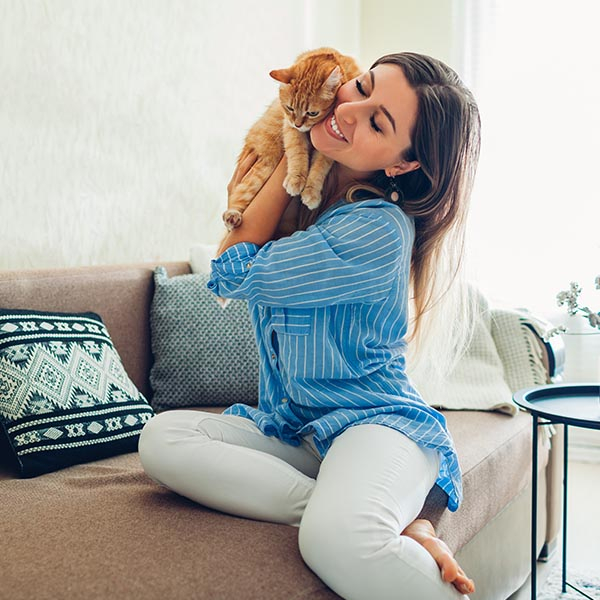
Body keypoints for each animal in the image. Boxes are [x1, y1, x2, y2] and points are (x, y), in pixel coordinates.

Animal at [223, 46, 358, 230]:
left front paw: (311, 191)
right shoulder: (290, 127)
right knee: (237, 201)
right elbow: (297, 151)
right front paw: (296, 179)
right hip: (261, 172)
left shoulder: (329, 143)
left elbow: (319, 167)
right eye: (290, 108)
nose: (299, 124)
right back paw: (232, 216)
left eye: (312, 113)